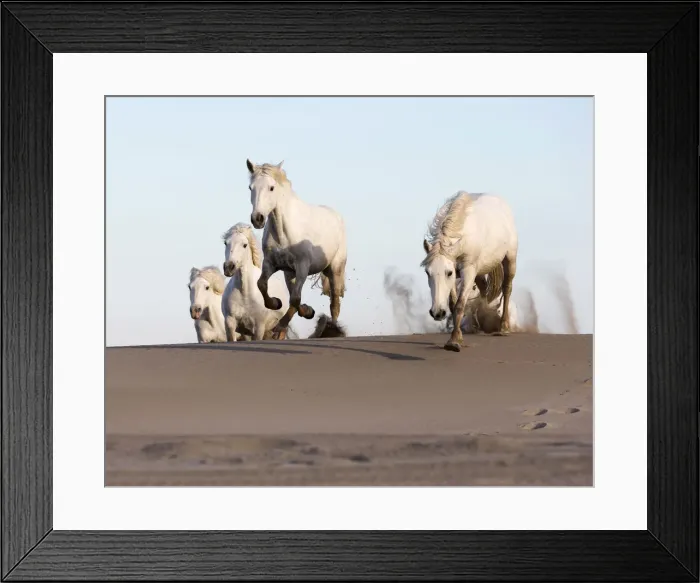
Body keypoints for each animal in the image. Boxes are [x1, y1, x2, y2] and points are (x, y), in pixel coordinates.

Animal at [245, 159, 348, 340]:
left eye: (271, 187)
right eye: (251, 188)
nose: (257, 219)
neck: (283, 232)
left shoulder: (302, 267)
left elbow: (294, 298)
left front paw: (281, 325)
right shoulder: (272, 264)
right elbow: (262, 284)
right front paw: (277, 303)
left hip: (335, 268)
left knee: (334, 302)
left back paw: (333, 329)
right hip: (289, 273)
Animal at [421, 191, 518, 352]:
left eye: (448, 272)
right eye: (428, 273)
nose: (437, 313)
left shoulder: (468, 271)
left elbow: (460, 304)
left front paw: (454, 341)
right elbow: (453, 304)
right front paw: (459, 335)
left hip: (510, 258)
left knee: (507, 289)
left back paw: (503, 327)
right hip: (480, 273)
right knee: (484, 290)